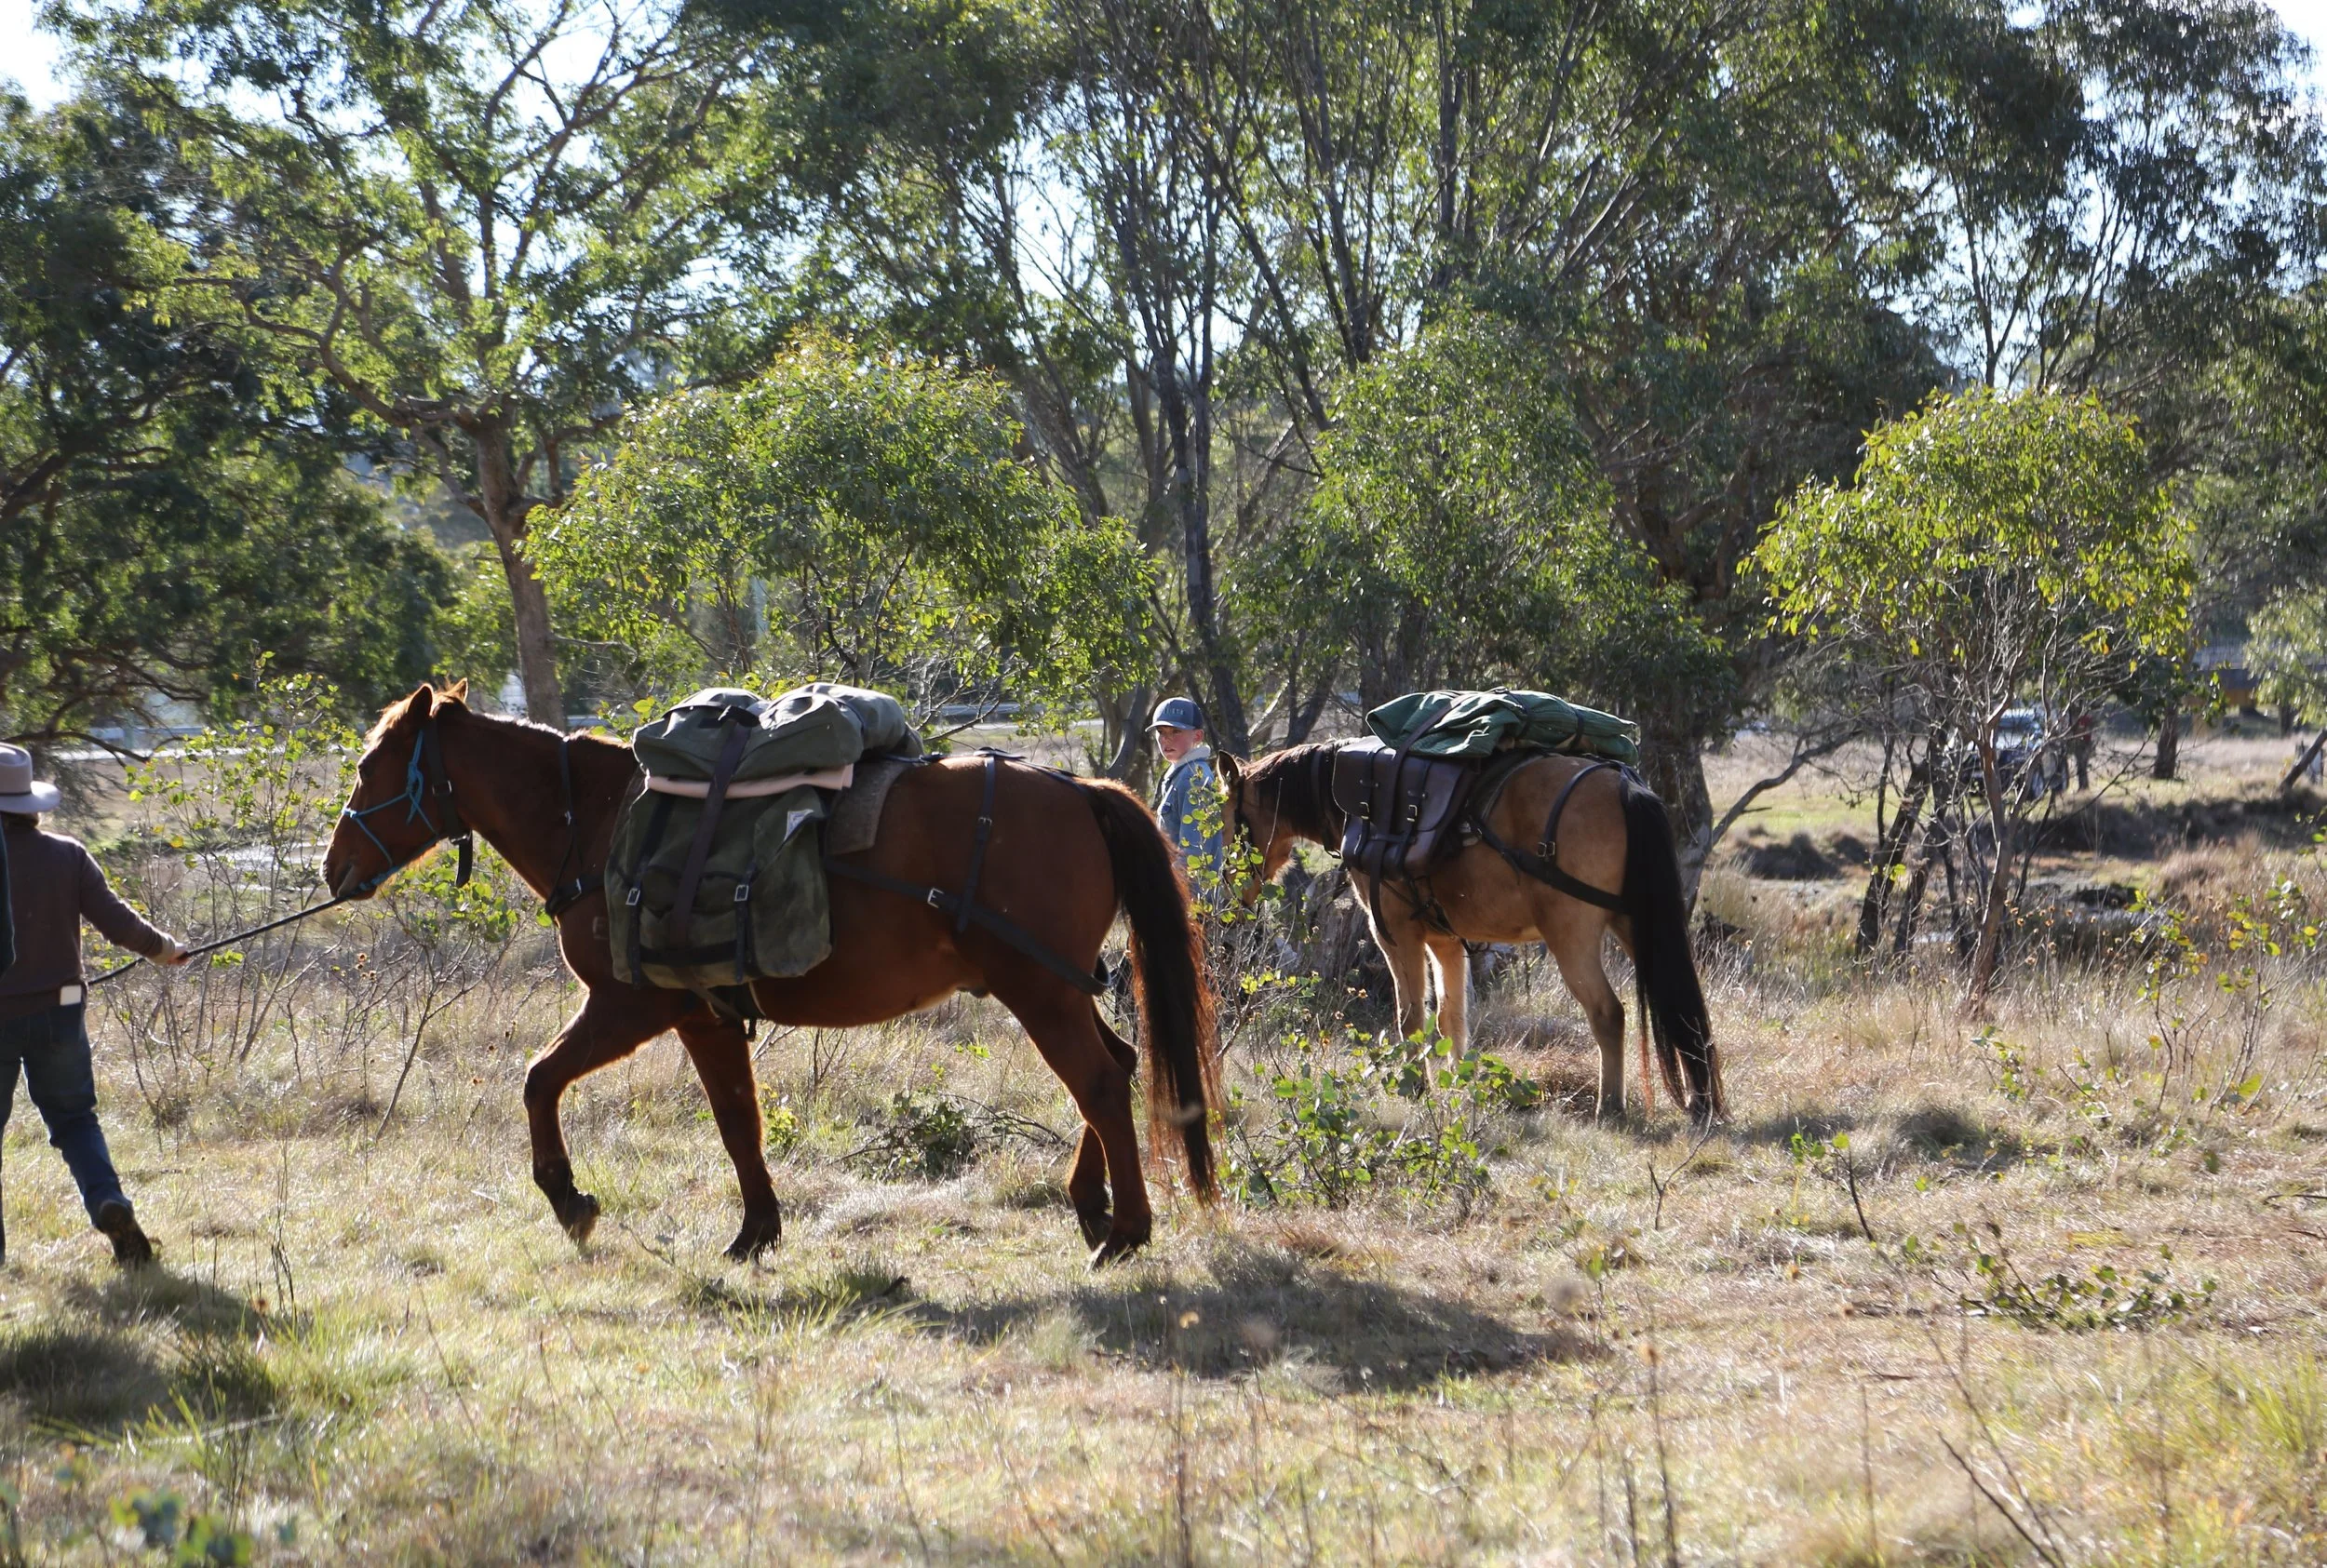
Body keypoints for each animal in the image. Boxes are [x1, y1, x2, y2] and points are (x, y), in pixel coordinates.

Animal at [322, 683, 1219, 1266]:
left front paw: (568, 1197)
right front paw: (757, 1228)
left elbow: (540, 1079)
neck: (598, 821)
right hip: (1054, 988)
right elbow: (737, 1120)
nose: (333, 867)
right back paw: (1093, 1206)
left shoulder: (631, 1007)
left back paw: (1127, 1230)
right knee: (1120, 1066)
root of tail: (1083, 790)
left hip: (1039, 991)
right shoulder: (704, 1016)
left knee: (1099, 1082)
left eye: (369, 766)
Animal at [1216, 745, 1723, 1124]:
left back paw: (1610, 1106)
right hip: (1638, 930)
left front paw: (1416, 1086)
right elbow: (1450, 1018)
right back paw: (1699, 1103)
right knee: (1680, 1010)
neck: (1354, 803)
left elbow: (1410, 1018)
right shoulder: (1444, 942)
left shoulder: (1395, 933)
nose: (1230, 887)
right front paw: (1457, 1082)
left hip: (1572, 940)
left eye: (1230, 819)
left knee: (1609, 1014)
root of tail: (1624, 786)